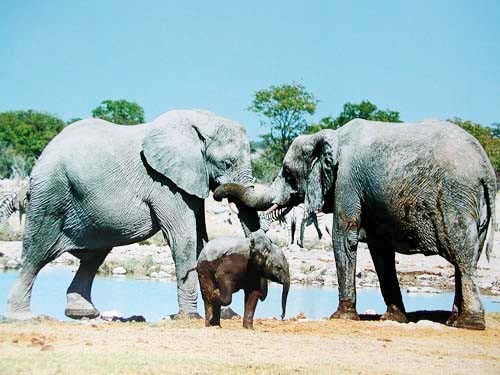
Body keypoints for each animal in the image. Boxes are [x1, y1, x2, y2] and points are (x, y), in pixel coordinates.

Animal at [5, 108, 260, 320]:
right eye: (226, 163)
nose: (220, 193)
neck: (197, 120)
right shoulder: (165, 183)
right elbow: (184, 239)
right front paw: (190, 317)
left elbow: (200, 240)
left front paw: (224, 314)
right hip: (50, 192)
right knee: (36, 252)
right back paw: (22, 317)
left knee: (93, 257)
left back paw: (82, 312)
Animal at [216, 119, 496, 330]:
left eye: (287, 172)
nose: (218, 193)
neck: (330, 136)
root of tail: (487, 171)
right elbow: (380, 251)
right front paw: (393, 318)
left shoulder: (346, 182)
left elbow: (343, 238)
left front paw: (340, 316)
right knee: (468, 257)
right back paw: (453, 320)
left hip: (455, 200)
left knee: (462, 256)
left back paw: (469, 324)